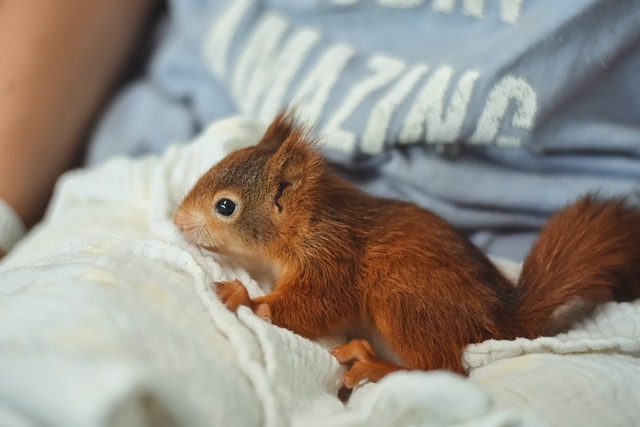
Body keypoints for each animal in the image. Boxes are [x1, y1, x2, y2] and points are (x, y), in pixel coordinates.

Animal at [172, 112, 640, 390]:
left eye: (226, 206)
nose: (176, 221)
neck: (308, 221)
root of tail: (497, 319)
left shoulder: (332, 257)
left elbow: (316, 305)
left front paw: (246, 299)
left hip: (402, 299)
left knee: (445, 370)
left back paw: (375, 364)